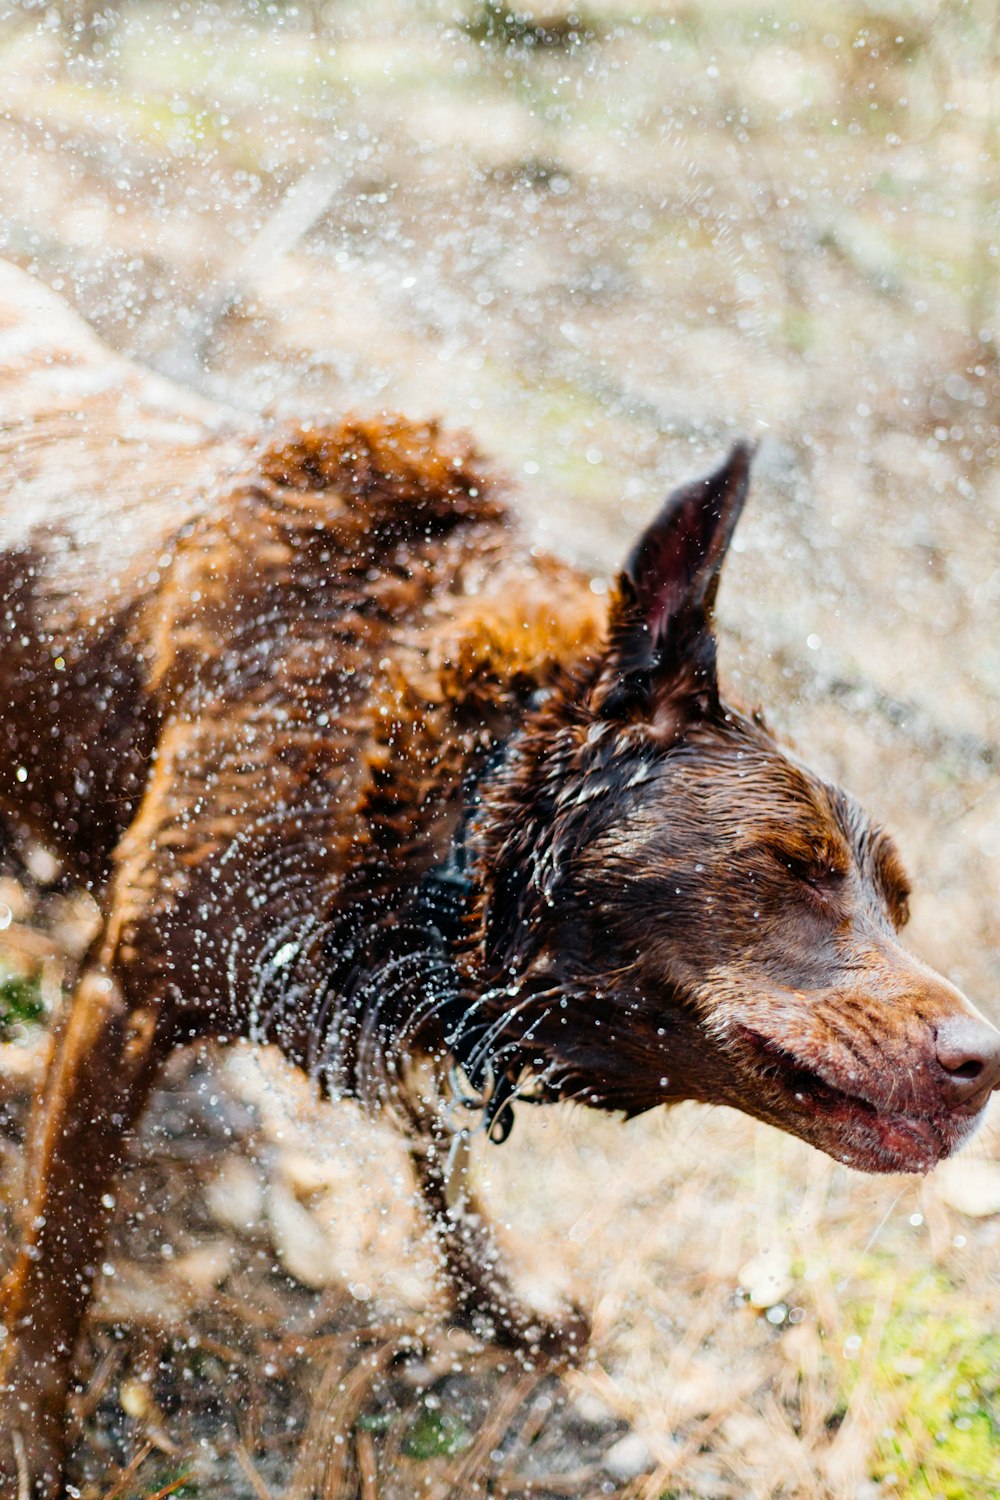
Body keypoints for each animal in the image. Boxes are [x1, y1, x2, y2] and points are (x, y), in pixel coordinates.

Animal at [1, 264, 1000, 1494]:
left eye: (897, 905)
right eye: (789, 870)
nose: (986, 1060)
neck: (434, 789)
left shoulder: (386, 991)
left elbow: (437, 1149)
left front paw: (500, 1300)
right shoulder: (129, 993)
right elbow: (59, 1260)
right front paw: (32, 1446)